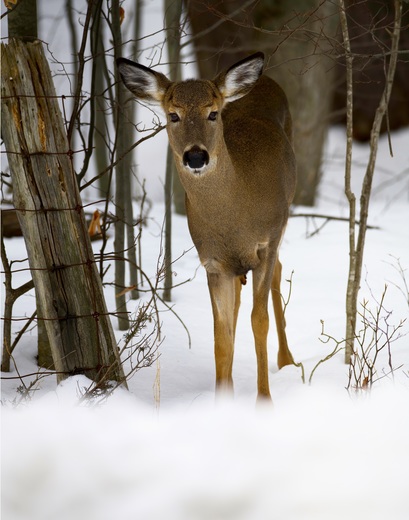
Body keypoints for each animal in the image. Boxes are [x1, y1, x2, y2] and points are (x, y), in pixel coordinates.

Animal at [117, 52, 296, 400]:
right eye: (173, 115)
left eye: (213, 113)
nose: (196, 156)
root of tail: (265, 79)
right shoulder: (212, 261)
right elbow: (221, 336)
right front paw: (221, 401)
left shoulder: (266, 242)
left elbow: (259, 321)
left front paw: (264, 400)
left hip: (283, 221)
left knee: (279, 271)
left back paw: (288, 362)